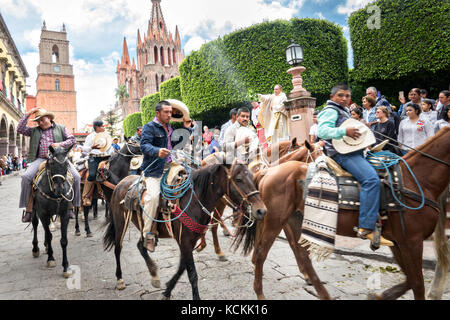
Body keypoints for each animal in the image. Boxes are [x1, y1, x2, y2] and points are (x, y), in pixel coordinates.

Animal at [31, 145, 74, 278]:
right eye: (52, 163)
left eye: (66, 163)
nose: (59, 188)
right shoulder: (43, 213)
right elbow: (49, 236)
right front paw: (51, 259)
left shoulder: (64, 214)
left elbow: (64, 240)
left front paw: (65, 267)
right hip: (35, 210)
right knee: (35, 223)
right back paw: (36, 249)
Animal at [102, 162, 268, 300]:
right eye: (238, 179)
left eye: (252, 177)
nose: (261, 211)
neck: (194, 201)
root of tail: (121, 183)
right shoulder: (186, 241)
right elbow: (192, 274)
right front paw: (195, 297)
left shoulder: (189, 242)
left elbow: (182, 267)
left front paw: (167, 291)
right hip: (120, 222)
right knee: (118, 248)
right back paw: (120, 279)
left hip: (144, 228)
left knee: (141, 246)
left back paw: (154, 276)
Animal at [234, 127, 450, 300]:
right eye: (315, 154)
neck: (416, 181)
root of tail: (269, 172)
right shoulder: (411, 241)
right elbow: (417, 283)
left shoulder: (399, 241)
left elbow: (412, 279)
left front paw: (381, 295)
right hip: (275, 219)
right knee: (260, 254)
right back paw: (260, 292)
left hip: (290, 218)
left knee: (298, 253)